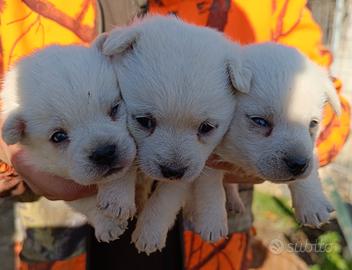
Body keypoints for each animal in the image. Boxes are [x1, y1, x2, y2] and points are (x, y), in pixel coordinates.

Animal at [1, 36, 136, 243]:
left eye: (114, 108)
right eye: (58, 136)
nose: (104, 153)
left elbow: (124, 170)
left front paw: (117, 197)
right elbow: (85, 201)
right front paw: (107, 223)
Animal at [102, 16, 250, 253]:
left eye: (206, 127)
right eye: (144, 121)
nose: (172, 171)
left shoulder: (190, 173)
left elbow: (165, 198)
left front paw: (149, 233)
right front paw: (117, 198)